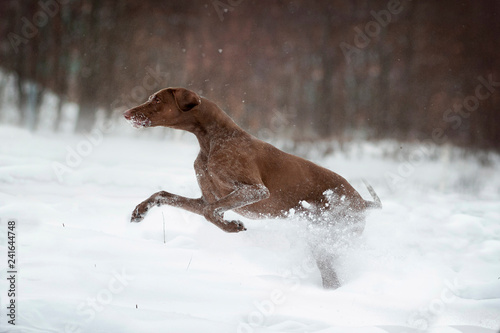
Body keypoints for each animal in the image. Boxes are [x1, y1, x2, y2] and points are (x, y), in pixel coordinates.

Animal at [123, 87, 380, 286]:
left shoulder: (254, 190)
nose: (126, 113)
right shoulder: (206, 199)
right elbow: (164, 195)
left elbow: (210, 212)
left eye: (157, 100)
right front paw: (140, 210)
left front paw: (231, 226)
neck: (212, 140)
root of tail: (361, 201)